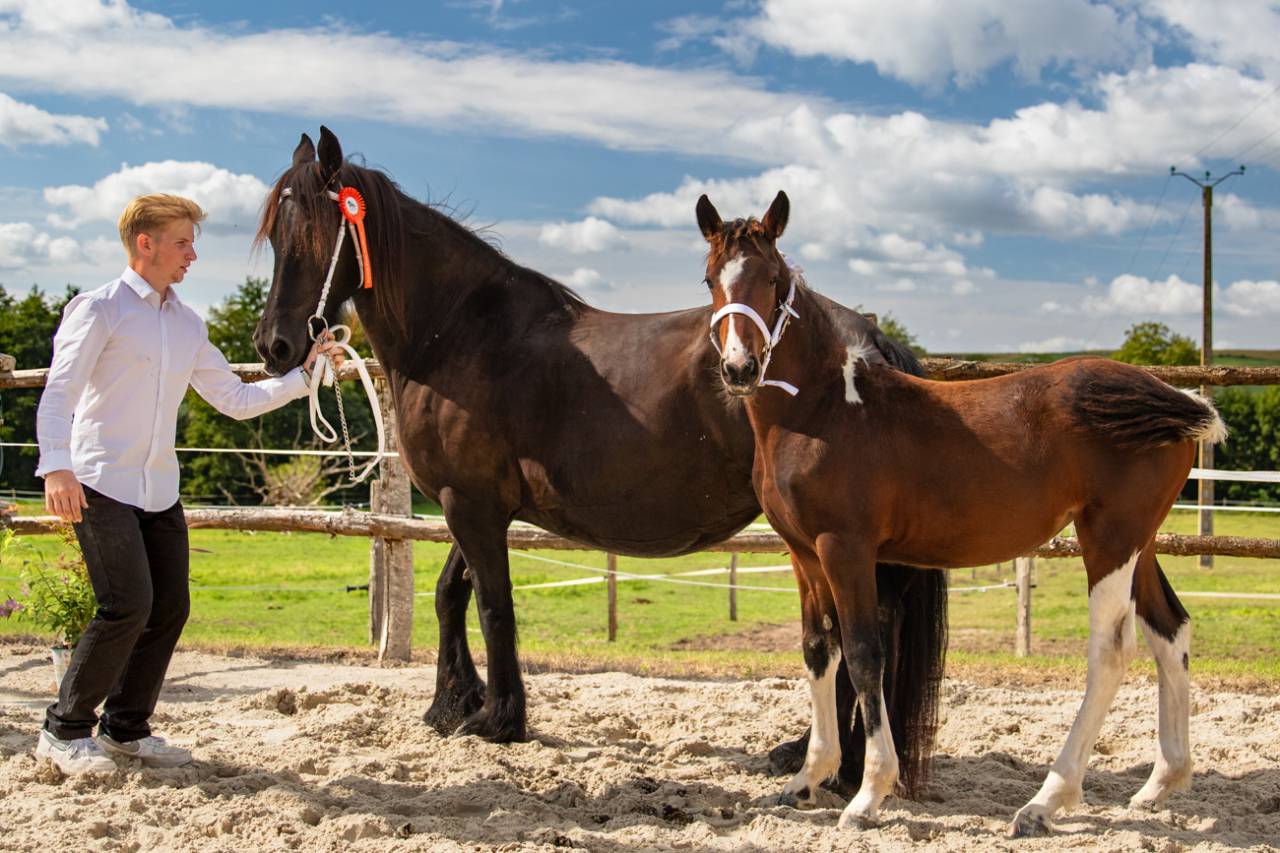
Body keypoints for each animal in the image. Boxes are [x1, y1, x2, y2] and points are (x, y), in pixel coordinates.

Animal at [249, 127, 947, 793]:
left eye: (313, 235)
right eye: (277, 234)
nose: (272, 345)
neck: (459, 335)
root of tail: (872, 339)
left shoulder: (470, 503)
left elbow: (493, 604)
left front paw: (499, 719)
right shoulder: (471, 503)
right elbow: (452, 593)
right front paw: (450, 705)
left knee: (865, 635)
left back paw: (839, 764)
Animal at [695, 190, 1225, 836]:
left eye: (772, 278)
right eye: (710, 279)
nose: (740, 369)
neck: (824, 411)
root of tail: (1172, 397)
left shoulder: (846, 549)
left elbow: (865, 655)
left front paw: (868, 794)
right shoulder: (803, 555)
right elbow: (820, 649)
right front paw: (806, 780)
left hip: (1110, 540)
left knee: (1111, 651)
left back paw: (1045, 801)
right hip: (1139, 542)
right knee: (1169, 631)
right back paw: (1159, 784)